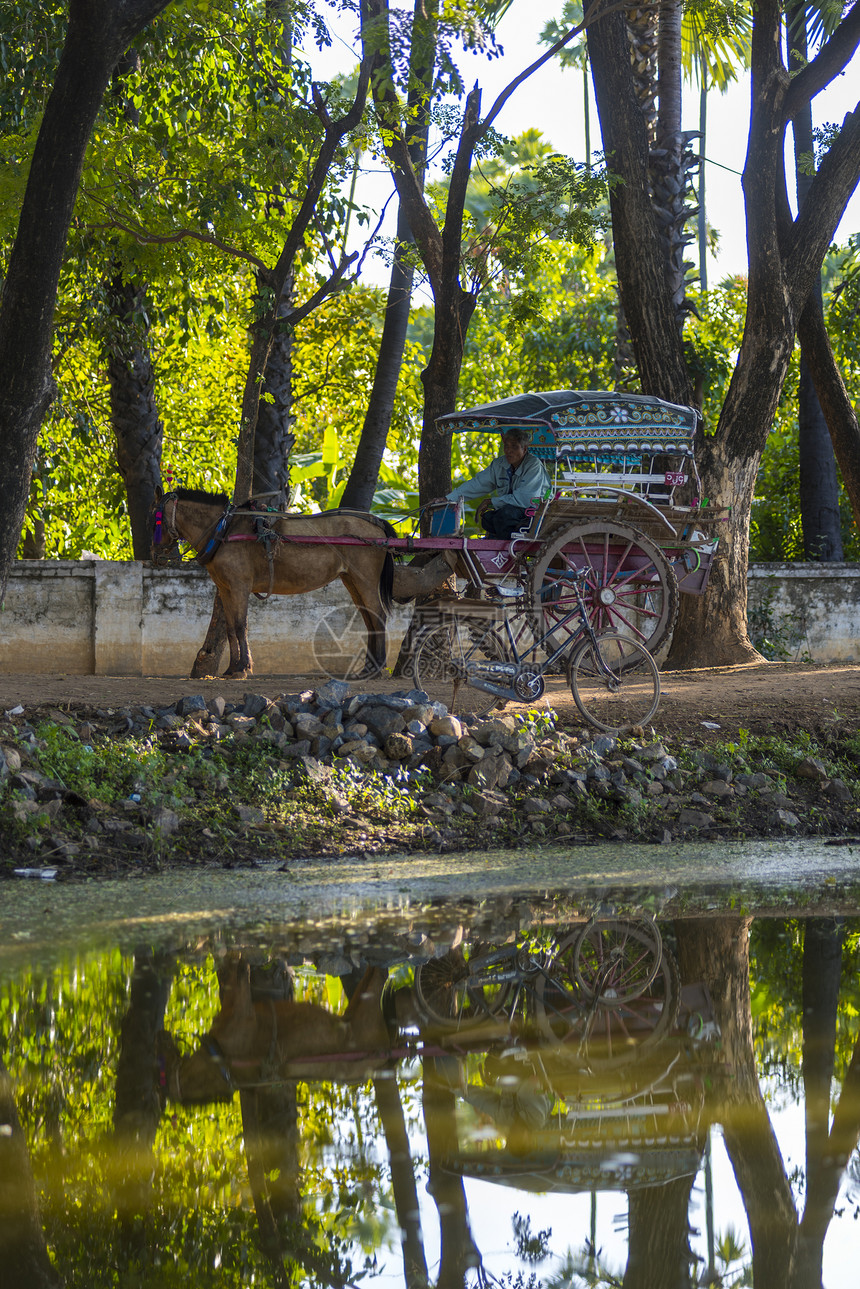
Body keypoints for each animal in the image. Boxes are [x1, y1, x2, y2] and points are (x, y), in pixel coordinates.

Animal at [151, 487, 397, 680]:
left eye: (155, 517)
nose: (156, 556)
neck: (224, 529)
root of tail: (376, 524)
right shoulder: (225, 589)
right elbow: (230, 628)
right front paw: (231, 668)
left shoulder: (240, 586)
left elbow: (241, 625)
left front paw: (243, 667)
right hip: (351, 580)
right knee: (369, 619)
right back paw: (368, 668)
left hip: (365, 579)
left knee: (378, 616)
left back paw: (377, 668)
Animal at [157, 953, 394, 1103]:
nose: (161, 1033)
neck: (221, 1063)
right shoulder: (242, 1010)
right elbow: (238, 970)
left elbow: (236, 970)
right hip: (362, 1010)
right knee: (378, 975)